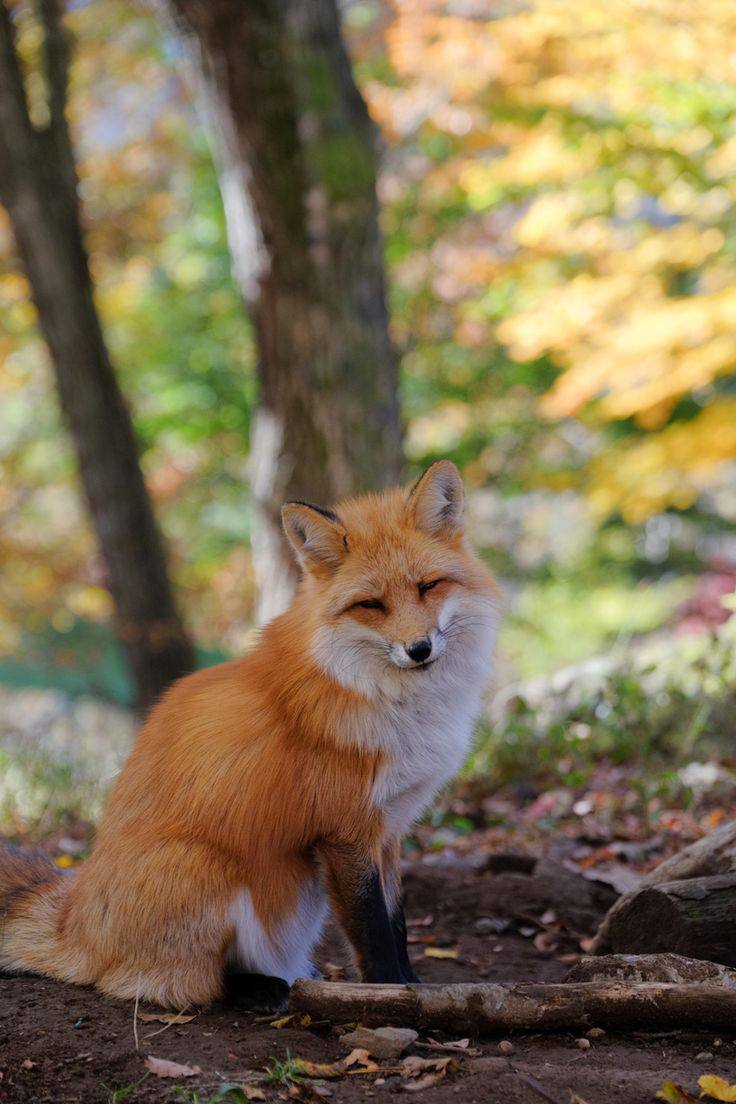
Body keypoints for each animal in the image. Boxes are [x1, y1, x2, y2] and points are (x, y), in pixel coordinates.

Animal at [0, 461, 500, 1011]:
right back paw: (262, 988)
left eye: (429, 586)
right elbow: (373, 931)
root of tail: (76, 919)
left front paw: (413, 986)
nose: (418, 649)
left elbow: (397, 921)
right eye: (371, 604)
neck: (390, 701)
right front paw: (393, 995)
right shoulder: (347, 830)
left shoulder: (388, 828)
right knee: (173, 984)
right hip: (205, 867)